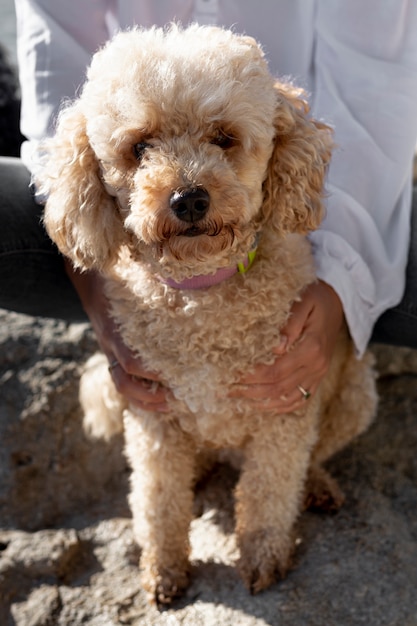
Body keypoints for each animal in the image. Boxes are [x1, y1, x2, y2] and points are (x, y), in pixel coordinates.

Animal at [38, 25, 376, 604]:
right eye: (140, 147)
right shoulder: (152, 416)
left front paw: (263, 555)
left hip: (356, 390)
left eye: (224, 137)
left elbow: (269, 491)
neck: (201, 294)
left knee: (312, 456)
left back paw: (316, 486)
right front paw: (164, 568)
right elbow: (157, 499)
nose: (189, 199)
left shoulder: (283, 411)